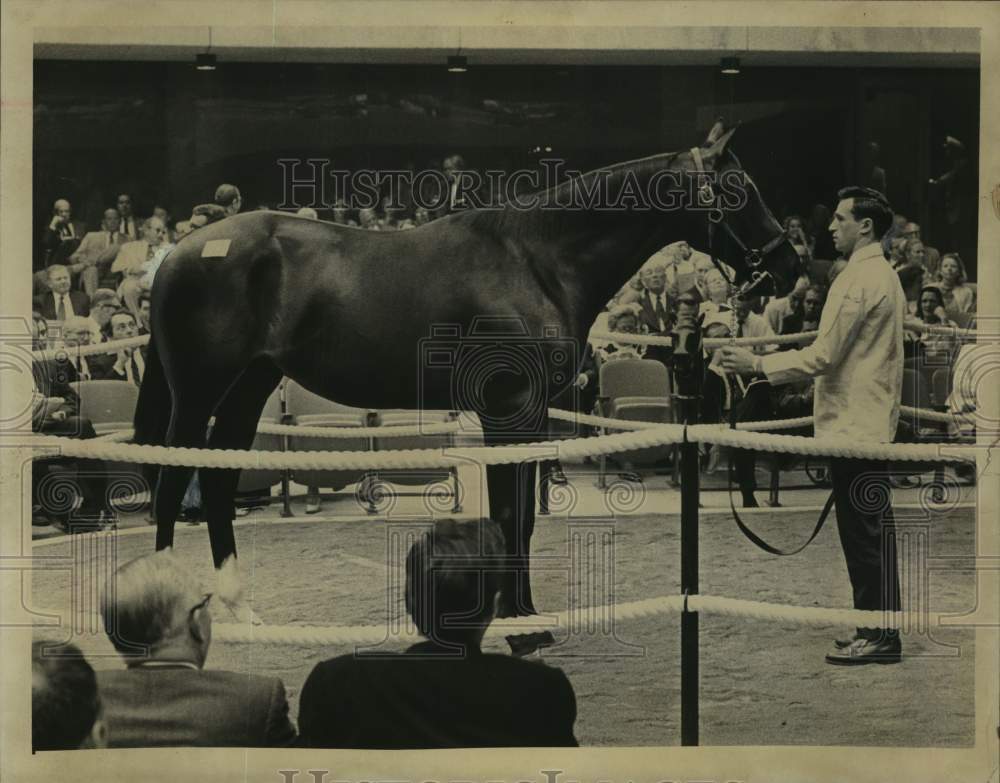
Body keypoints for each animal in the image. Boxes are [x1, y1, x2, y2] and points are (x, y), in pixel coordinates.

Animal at [135, 121, 804, 624]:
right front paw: (511, 614)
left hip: (246, 388)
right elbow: (510, 516)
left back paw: (239, 606)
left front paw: (524, 610)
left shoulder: (530, 416)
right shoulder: (508, 408)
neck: (536, 261)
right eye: (740, 188)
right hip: (196, 392)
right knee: (171, 485)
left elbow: (524, 517)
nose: (790, 267)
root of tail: (177, 254)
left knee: (217, 481)